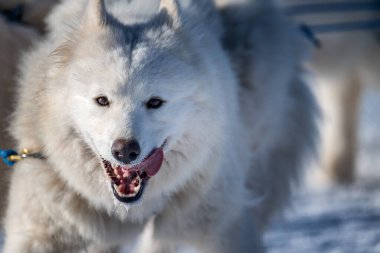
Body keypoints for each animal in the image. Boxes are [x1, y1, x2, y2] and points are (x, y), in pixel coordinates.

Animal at [2, 0, 318, 251]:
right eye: (102, 100)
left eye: (155, 102)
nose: (125, 151)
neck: (129, 209)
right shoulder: (42, 231)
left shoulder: (221, 226)